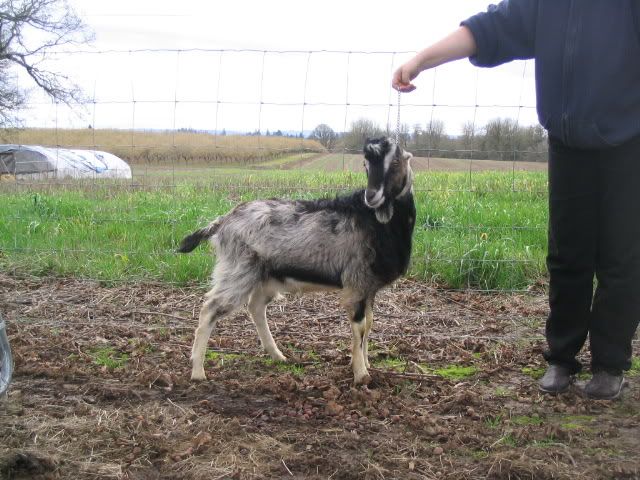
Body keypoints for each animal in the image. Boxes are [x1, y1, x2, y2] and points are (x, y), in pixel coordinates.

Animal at [178, 137, 416, 385]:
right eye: (365, 164)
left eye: (395, 161)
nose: (371, 196)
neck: (375, 222)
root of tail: (223, 221)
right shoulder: (357, 282)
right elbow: (359, 327)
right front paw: (361, 374)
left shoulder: (369, 286)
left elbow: (369, 324)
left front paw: (366, 363)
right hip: (238, 272)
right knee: (210, 309)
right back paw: (198, 371)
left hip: (265, 277)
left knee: (255, 307)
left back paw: (277, 354)